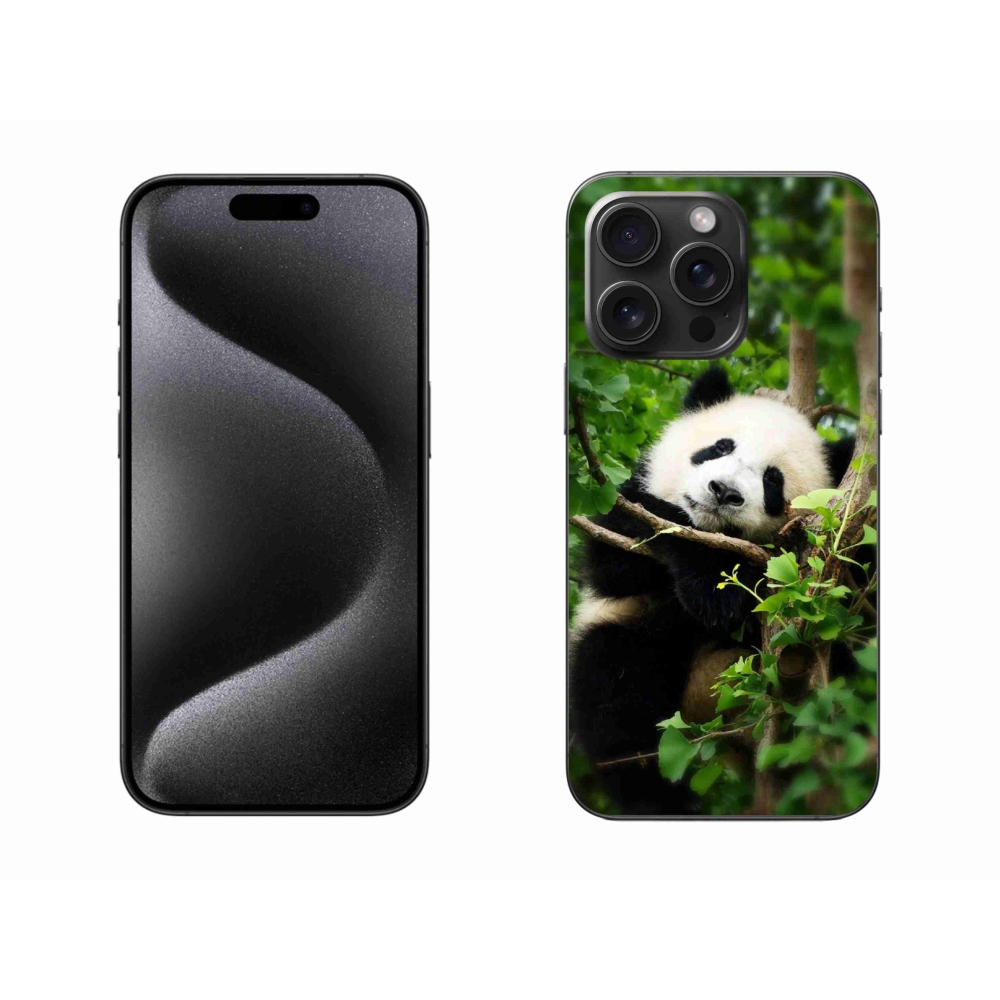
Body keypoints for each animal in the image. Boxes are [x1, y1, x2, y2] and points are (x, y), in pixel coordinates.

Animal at [569, 367, 855, 815]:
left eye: (773, 480)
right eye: (720, 447)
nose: (724, 491)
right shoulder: (624, 507)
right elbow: (618, 559)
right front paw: (714, 587)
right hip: (634, 640)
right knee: (616, 699)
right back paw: (663, 799)